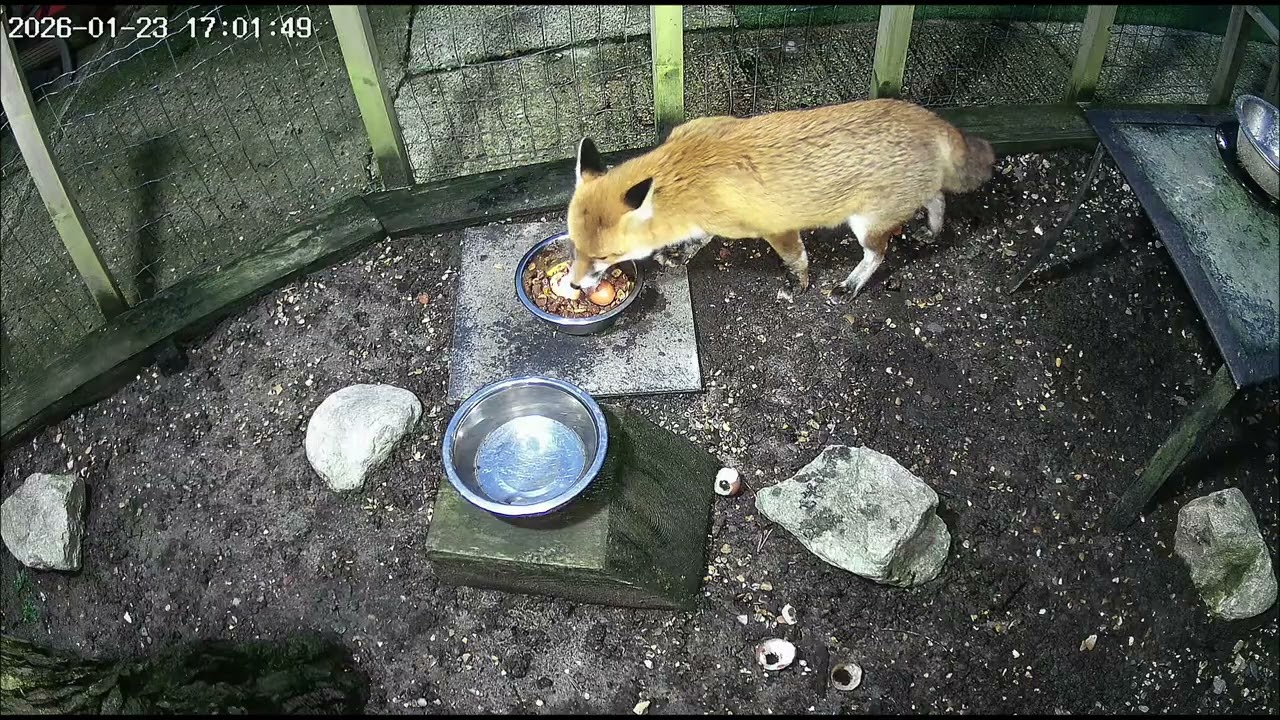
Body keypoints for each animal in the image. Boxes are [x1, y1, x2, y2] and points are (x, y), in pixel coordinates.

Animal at [564, 98, 995, 297]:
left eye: (605, 257)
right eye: (574, 248)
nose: (574, 284)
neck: (688, 171)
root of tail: (934, 119)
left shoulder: (776, 227)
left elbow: (797, 258)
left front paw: (799, 285)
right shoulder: (709, 219)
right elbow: (700, 239)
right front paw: (681, 254)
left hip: (866, 224)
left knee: (878, 253)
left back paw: (852, 285)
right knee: (938, 198)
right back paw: (933, 231)